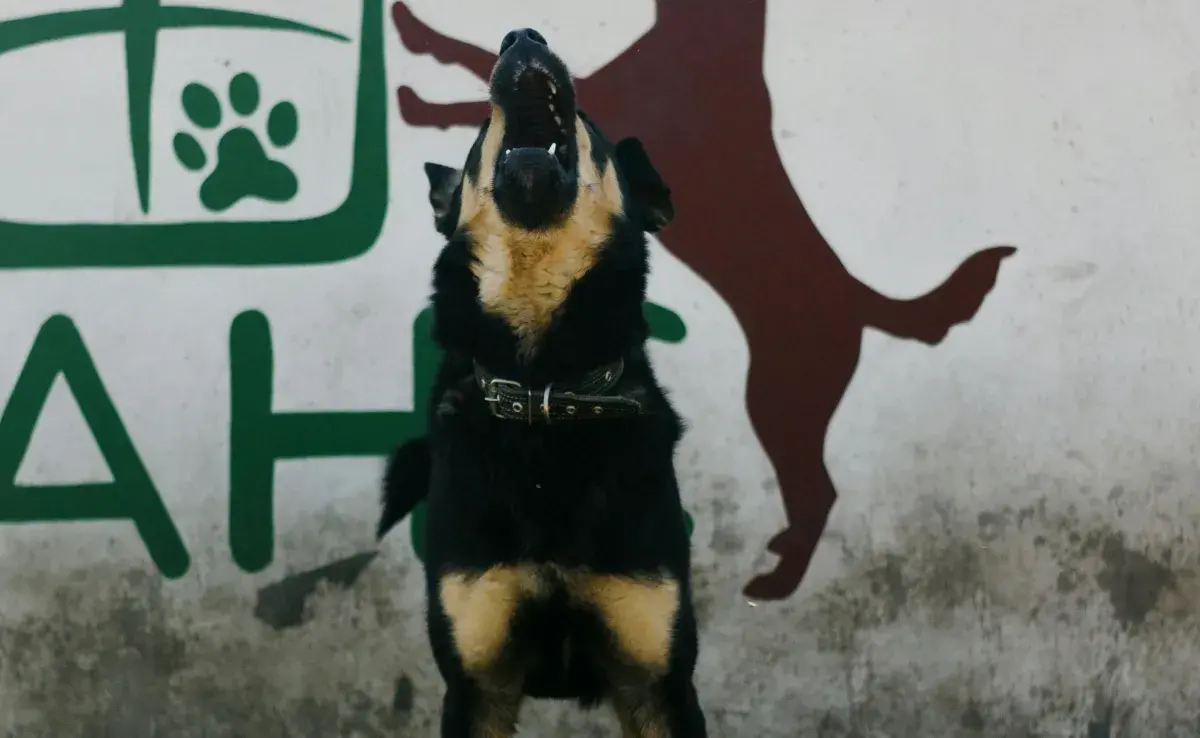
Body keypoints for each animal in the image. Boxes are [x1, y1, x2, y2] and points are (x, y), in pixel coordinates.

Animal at [379, 25, 705, 734]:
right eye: (481, 130)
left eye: (590, 126)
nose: (522, 36)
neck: (544, 397)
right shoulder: (477, 683)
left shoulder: (657, 680)